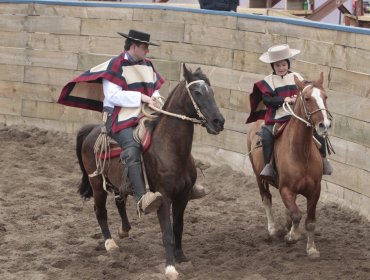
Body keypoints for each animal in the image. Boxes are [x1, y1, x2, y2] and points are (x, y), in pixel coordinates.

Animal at [76, 64, 224, 278]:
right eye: (197, 92)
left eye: (211, 92)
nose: (219, 121)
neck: (169, 149)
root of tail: (92, 130)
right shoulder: (164, 197)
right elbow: (167, 233)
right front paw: (170, 267)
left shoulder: (183, 195)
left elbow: (178, 227)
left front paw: (181, 257)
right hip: (96, 183)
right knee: (100, 210)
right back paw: (110, 243)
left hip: (116, 182)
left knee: (119, 201)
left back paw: (124, 230)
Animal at [247, 72, 330, 258]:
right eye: (307, 98)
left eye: (325, 97)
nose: (324, 125)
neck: (302, 152)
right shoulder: (286, 189)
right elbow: (297, 215)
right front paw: (292, 236)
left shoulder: (315, 191)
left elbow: (310, 221)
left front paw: (312, 249)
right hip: (258, 177)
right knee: (266, 198)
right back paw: (273, 229)